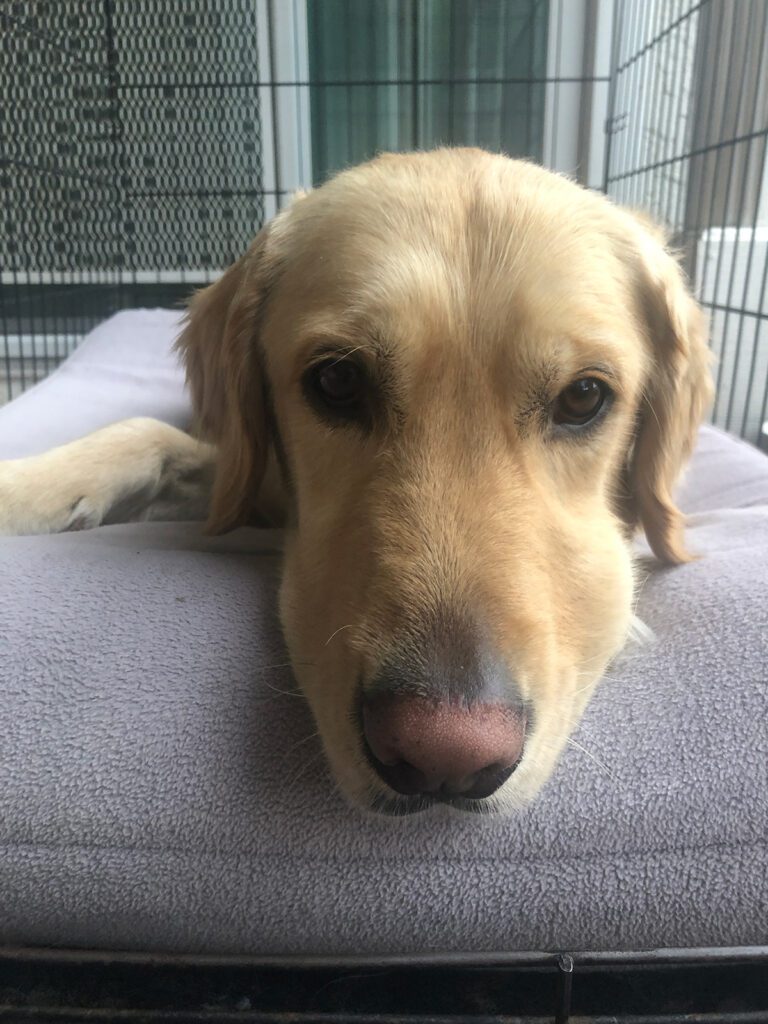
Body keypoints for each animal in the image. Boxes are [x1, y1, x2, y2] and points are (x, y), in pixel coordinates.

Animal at [0, 148, 716, 815]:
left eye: (583, 397)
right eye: (338, 381)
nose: (446, 755)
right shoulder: (250, 475)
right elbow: (145, 432)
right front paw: (27, 487)